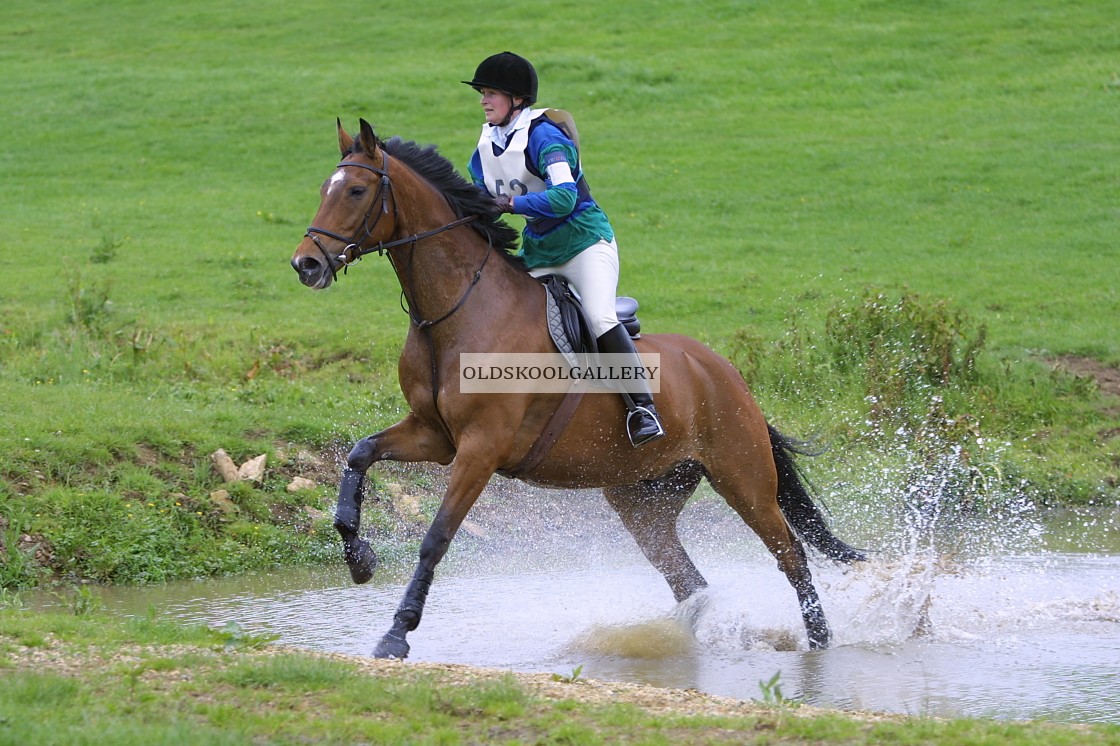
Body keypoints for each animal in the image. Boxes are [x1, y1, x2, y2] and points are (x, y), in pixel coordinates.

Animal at [291, 117, 864, 658]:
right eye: (322, 188)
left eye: (356, 191)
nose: (306, 264)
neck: (456, 312)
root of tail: (724, 372)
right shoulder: (435, 435)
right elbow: (360, 454)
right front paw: (359, 558)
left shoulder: (480, 449)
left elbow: (435, 539)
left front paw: (396, 634)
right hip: (642, 498)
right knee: (688, 579)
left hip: (742, 477)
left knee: (790, 553)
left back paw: (819, 641)